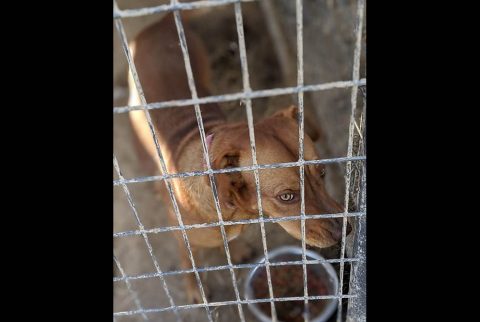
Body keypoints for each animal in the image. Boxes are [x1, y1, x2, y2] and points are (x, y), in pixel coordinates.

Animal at [127, 12, 352, 304]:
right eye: (287, 196)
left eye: (322, 173)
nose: (345, 230)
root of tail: (160, 22)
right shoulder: (181, 236)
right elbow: (189, 261)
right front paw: (195, 288)